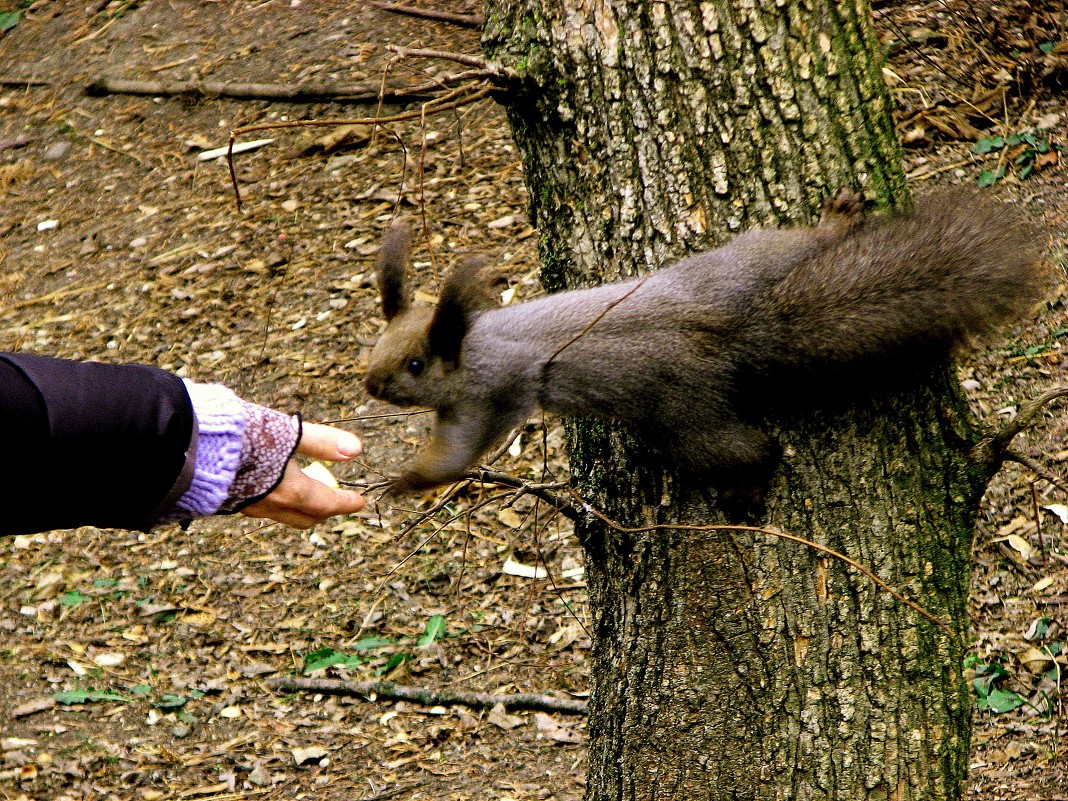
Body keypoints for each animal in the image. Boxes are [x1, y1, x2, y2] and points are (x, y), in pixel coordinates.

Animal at [363, 191, 1046, 499]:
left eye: (415, 364)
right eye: (374, 348)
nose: (370, 384)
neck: (473, 340)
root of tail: (742, 328)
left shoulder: (488, 394)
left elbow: (460, 450)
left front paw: (407, 480)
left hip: (687, 419)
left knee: (751, 451)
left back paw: (749, 491)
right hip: (746, 261)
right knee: (797, 242)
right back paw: (837, 221)